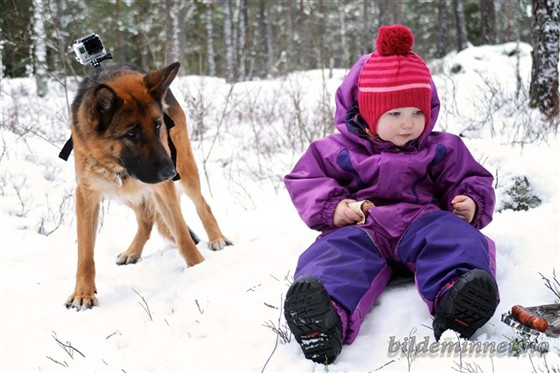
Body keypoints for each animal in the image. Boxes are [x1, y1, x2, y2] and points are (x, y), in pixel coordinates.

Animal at [64, 62, 231, 310]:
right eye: (132, 133)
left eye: (158, 125)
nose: (170, 173)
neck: (117, 164)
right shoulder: (86, 194)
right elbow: (85, 253)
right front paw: (83, 293)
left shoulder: (162, 188)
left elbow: (182, 234)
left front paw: (199, 268)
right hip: (125, 193)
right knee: (145, 219)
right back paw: (132, 252)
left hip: (183, 171)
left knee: (201, 204)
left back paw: (217, 238)